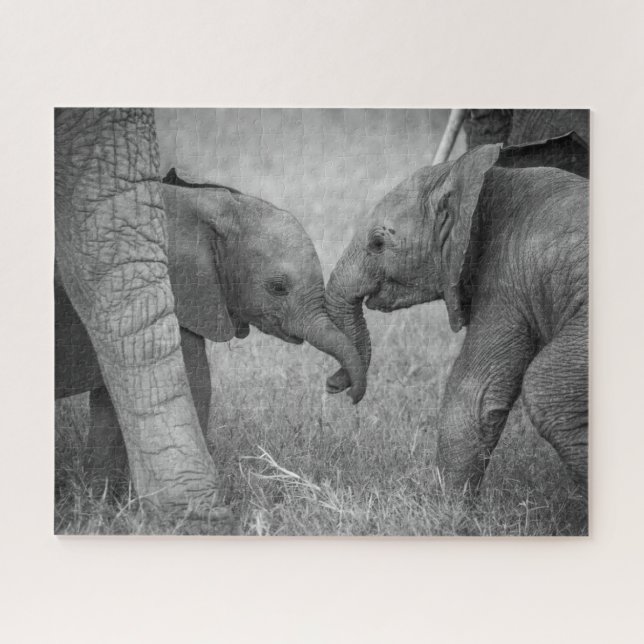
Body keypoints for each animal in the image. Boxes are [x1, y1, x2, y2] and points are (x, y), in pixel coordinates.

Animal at [56, 112, 365, 518]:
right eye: (278, 287)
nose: (335, 385)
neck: (211, 204)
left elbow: (110, 404)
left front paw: (102, 503)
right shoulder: (180, 292)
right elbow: (196, 383)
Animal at [324, 134, 588, 495]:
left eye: (378, 243)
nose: (333, 386)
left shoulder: (505, 283)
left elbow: (472, 394)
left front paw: (443, 508)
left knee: (548, 391)